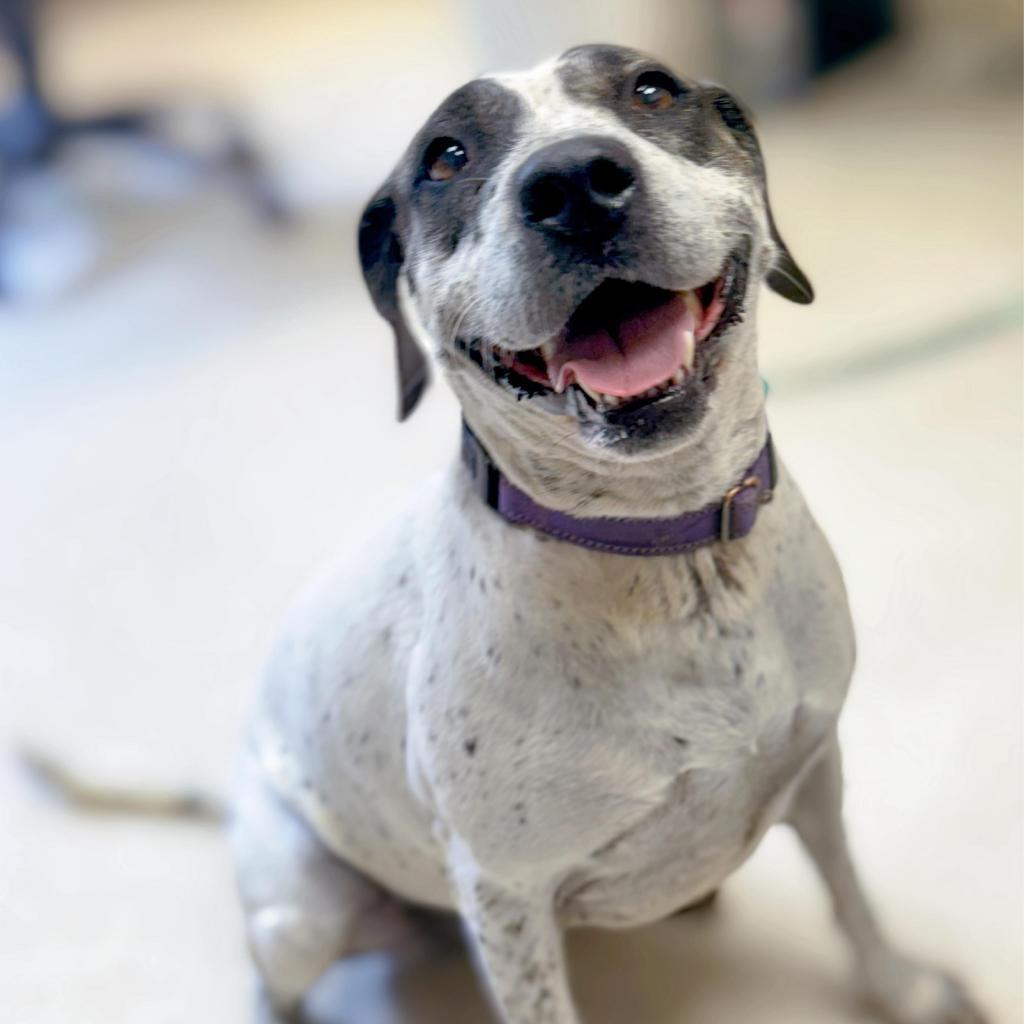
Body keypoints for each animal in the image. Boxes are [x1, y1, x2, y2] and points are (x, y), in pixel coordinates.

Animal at [230, 46, 983, 1024]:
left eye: (651, 89)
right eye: (445, 156)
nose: (574, 183)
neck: (668, 553)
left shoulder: (817, 765)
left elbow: (852, 899)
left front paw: (903, 989)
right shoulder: (507, 898)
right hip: (300, 914)